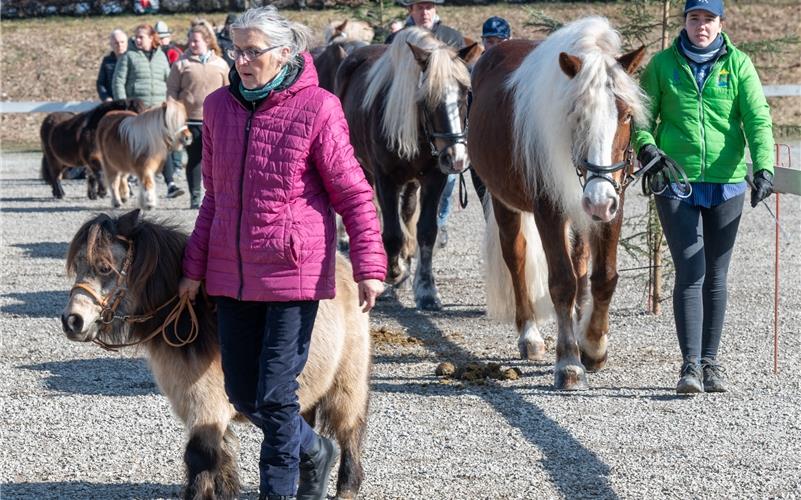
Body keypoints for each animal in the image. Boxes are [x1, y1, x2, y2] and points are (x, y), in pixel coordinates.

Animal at [60, 209, 372, 498]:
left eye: (104, 268)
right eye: (78, 265)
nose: (72, 321)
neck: (195, 322)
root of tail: (344, 265)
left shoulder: (206, 405)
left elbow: (199, 457)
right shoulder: (195, 406)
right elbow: (219, 458)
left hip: (347, 379)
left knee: (349, 428)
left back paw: (347, 486)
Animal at [334, 27, 472, 310]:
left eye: (464, 93)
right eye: (427, 98)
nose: (456, 158)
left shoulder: (434, 178)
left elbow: (426, 231)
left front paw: (426, 290)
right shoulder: (385, 179)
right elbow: (392, 233)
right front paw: (391, 272)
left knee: (407, 212)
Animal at [468, 16, 644, 390]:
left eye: (625, 115)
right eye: (577, 114)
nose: (597, 200)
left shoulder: (613, 204)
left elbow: (603, 277)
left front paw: (593, 345)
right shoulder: (549, 209)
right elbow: (562, 282)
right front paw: (569, 363)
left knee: (580, 264)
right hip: (505, 202)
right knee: (516, 257)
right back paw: (530, 336)